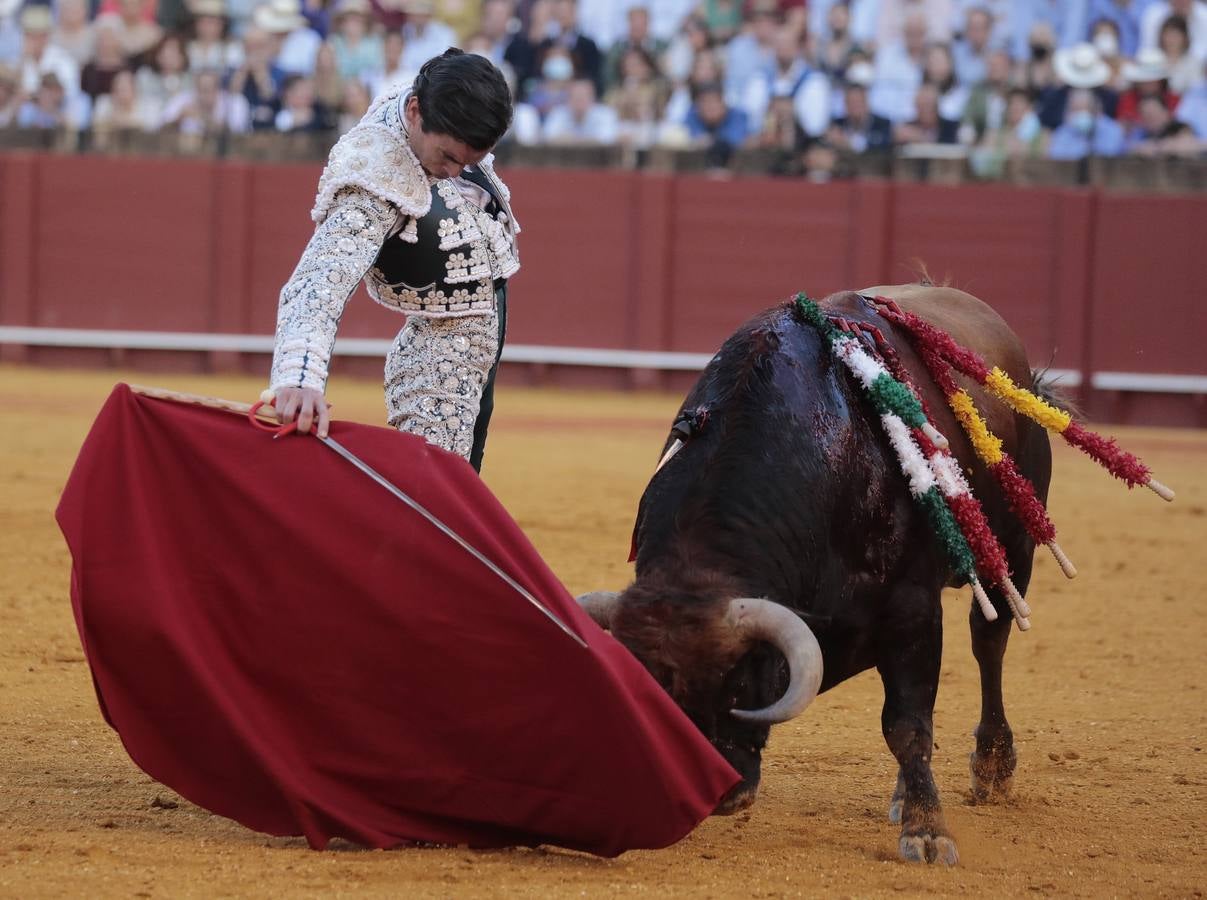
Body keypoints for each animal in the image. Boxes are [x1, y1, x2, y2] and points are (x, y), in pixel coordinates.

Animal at [579, 285, 1052, 863]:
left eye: (740, 684)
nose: (718, 794)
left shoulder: (911, 608)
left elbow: (907, 724)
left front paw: (927, 832)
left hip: (1015, 547)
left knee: (989, 643)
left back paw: (991, 767)